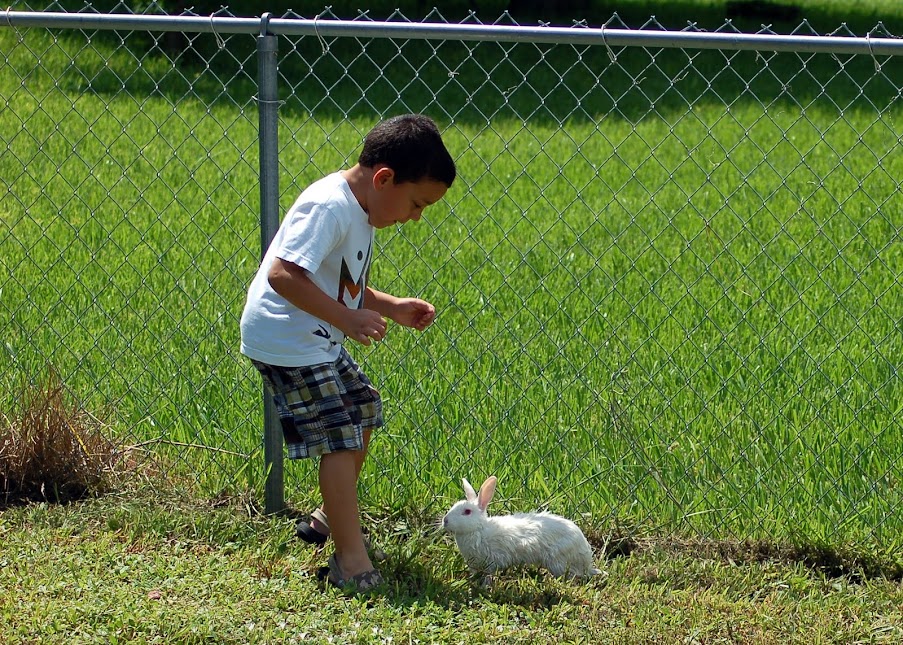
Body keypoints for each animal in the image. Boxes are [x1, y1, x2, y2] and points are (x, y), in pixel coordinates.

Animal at [444, 472, 604, 580]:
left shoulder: (491, 563)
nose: (445, 521)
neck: (479, 529)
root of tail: (587, 562)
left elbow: (488, 576)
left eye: (467, 512)